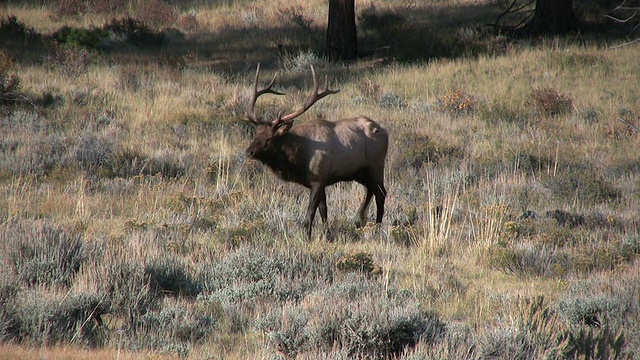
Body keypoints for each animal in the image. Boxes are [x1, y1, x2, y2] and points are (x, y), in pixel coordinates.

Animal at [242, 64, 388, 239]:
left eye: (269, 139)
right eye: (256, 134)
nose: (248, 152)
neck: (298, 160)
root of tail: (384, 131)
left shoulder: (318, 178)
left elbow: (310, 214)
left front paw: (308, 237)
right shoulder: (321, 181)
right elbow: (323, 211)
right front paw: (327, 235)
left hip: (376, 164)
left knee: (381, 193)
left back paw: (377, 227)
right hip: (359, 172)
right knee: (370, 189)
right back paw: (359, 219)